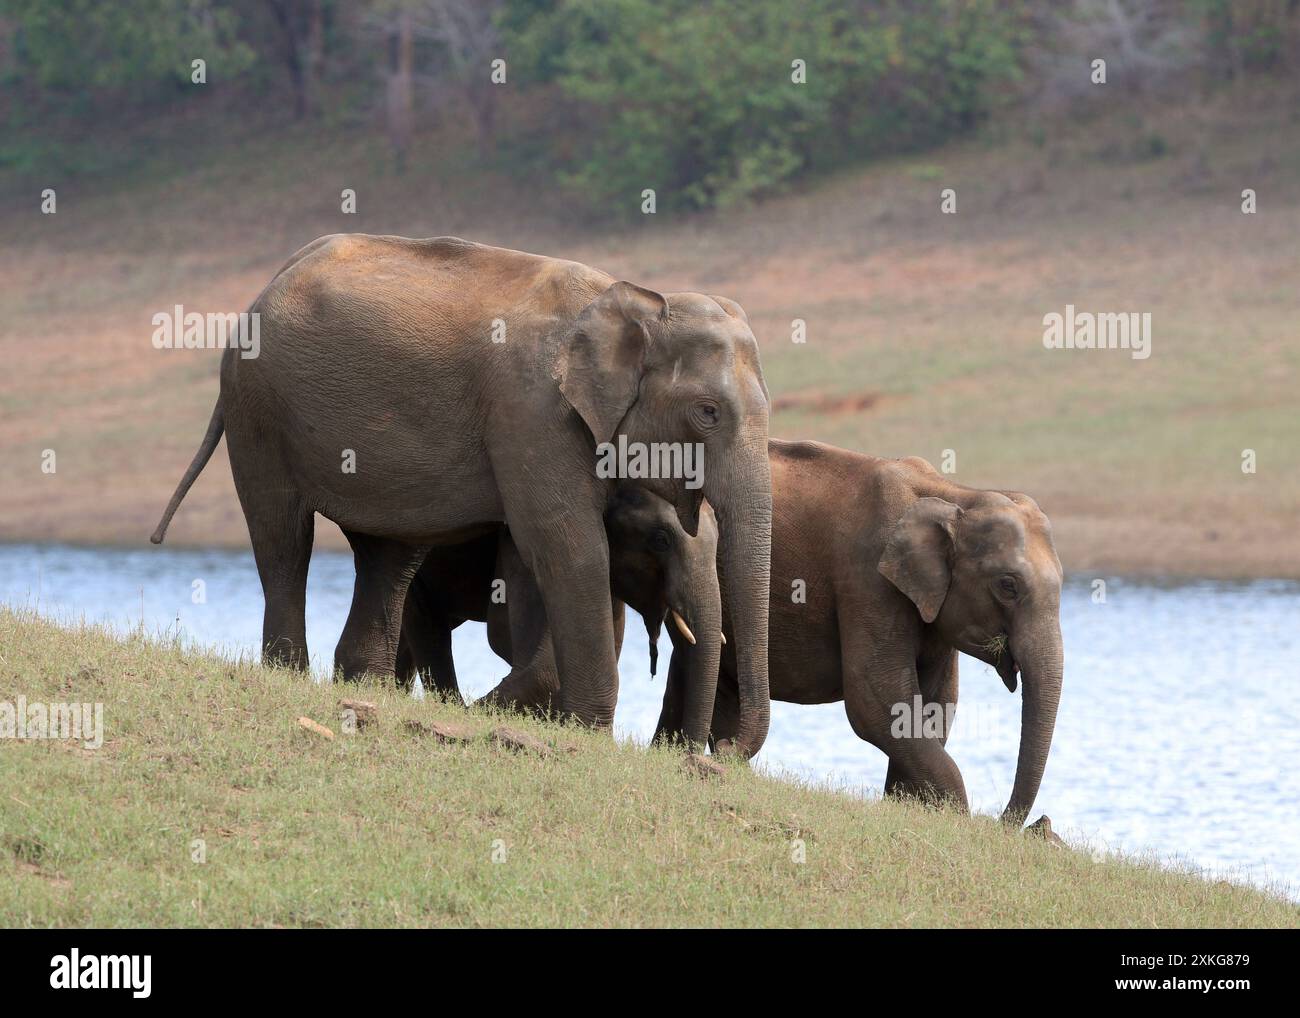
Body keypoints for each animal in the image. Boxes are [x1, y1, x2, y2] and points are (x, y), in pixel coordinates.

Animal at [660, 439, 1066, 826]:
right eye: (1007, 585)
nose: (1001, 822)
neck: (954, 493)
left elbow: (936, 702)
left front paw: (907, 806)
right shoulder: (868, 577)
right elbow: (877, 700)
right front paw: (953, 817)